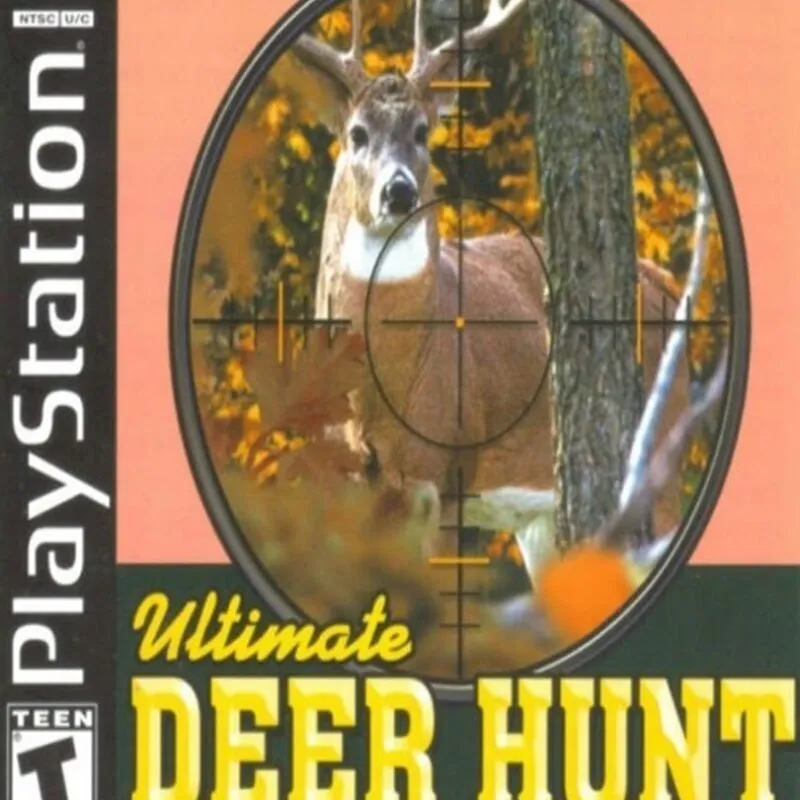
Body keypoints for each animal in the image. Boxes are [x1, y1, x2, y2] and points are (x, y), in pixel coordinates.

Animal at [291, 0, 691, 550]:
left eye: (422, 131)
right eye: (357, 133)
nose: (399, 191)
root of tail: (665, 283)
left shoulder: (445, 475)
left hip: (663, 454)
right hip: (540, 518)